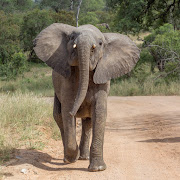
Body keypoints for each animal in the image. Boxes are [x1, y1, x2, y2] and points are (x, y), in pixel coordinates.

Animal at [33, 23, 141, 172]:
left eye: (100, 43)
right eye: (71, 37)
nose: (74, 111)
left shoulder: (102, 78)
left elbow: (99, 113)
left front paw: (98, 169)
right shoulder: (67, 80)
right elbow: (67, 112)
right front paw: (72, 157)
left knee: (87, 121)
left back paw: (83, 157)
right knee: (59, 116)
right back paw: (70, 158)